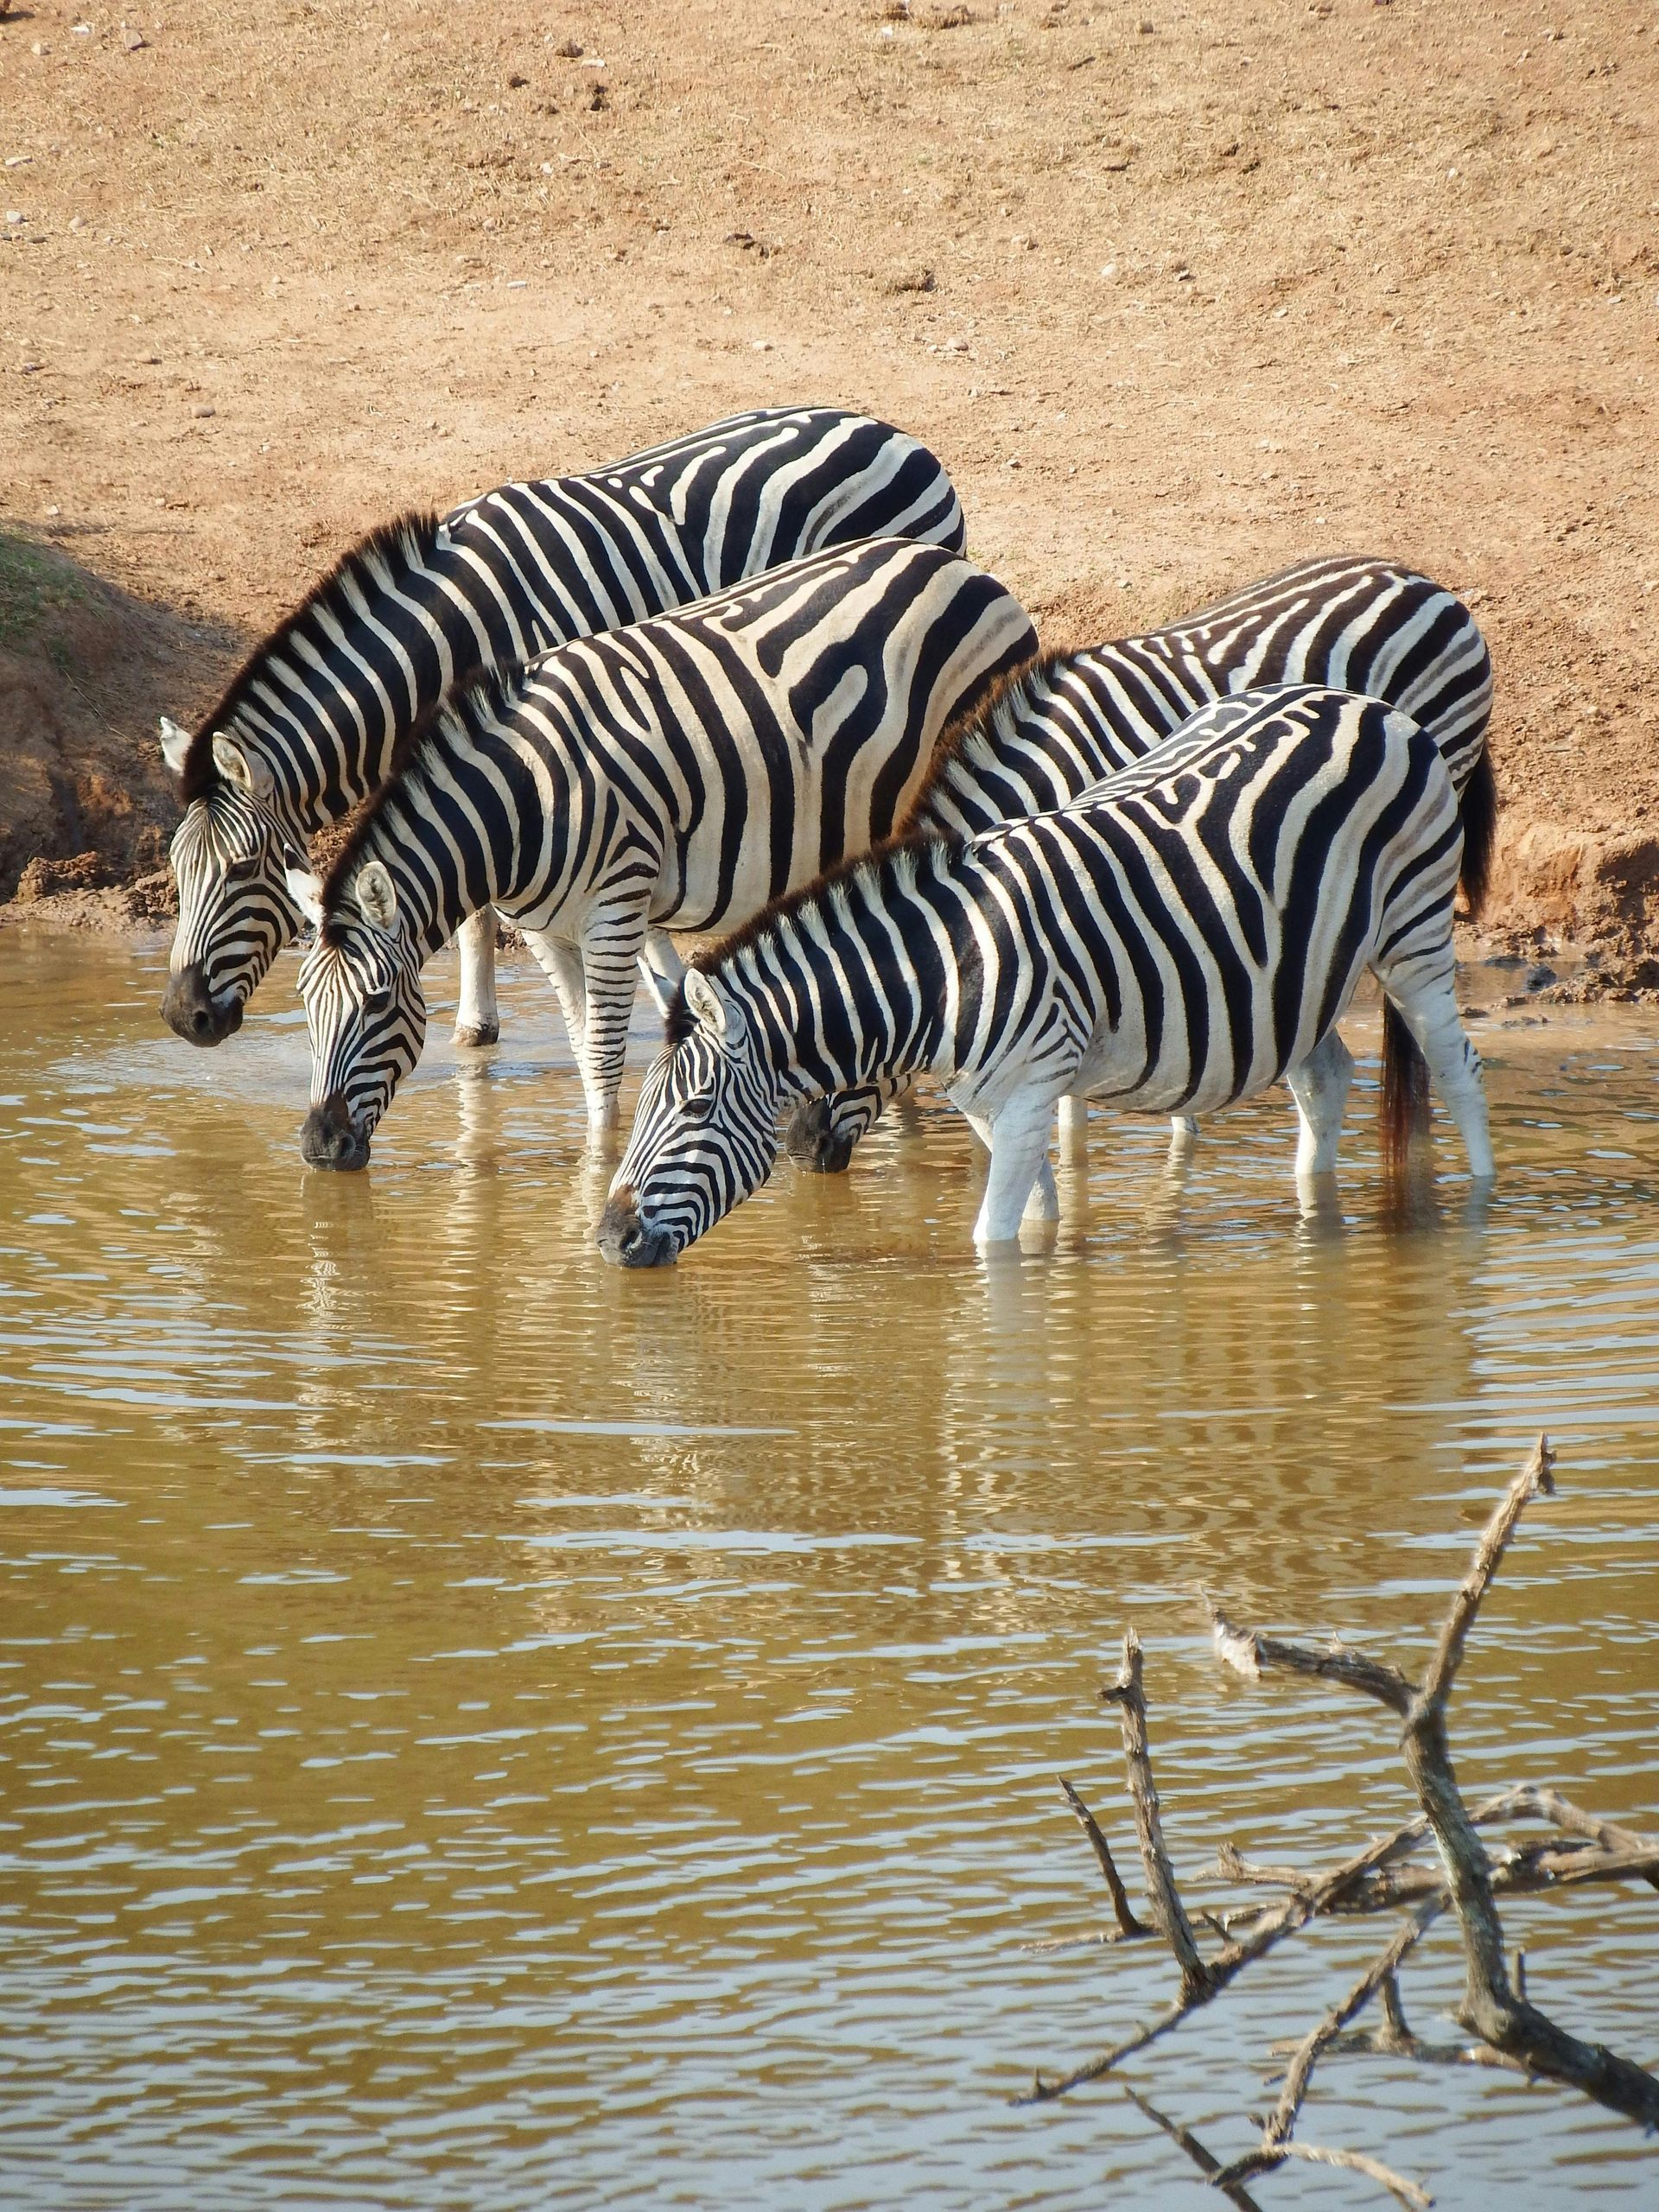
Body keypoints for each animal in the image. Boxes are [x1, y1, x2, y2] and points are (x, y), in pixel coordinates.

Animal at [156, 404, 973, 1052]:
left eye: (242, 870)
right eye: (175, 868)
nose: (180, 1018)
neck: (443, 639)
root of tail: (894, 433)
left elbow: (494, 908)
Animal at [285, 531, 1039, 1176]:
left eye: (378, 1003)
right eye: (304, 1004)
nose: (320, 1147)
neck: (522, 800)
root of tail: (963, 568)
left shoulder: (616, 908)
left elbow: (604, 1056)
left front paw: (597, 1168)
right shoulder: (545, 931)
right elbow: (583, 1048)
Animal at [593, 677, 1495, 1265]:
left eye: (696, 1106)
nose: (608, 1239)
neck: (945, 967)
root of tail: (1367, 705)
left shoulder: (1031, 1090)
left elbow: (992, 1241)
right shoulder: (991, 1105)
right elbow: (1034, 1221)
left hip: (1413, 933)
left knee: (1456, 1071)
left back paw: (1480, 1208)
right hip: (1297, 977)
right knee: (1326, 1076)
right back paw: (1316, 1213)